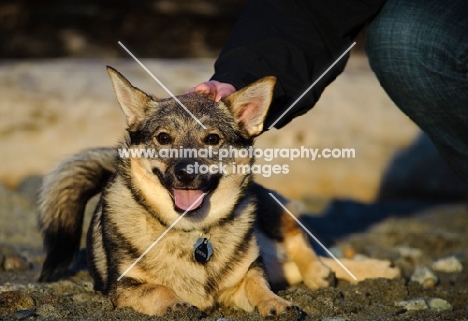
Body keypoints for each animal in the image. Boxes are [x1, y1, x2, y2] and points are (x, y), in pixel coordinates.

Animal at [38, 66, 400, 318]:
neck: (193, 231)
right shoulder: (123, 287)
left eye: (212, 139)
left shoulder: (246, 277)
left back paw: (333, 271)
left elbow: (258, 286)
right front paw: (176, 303)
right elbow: (156, 290)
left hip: (270, 208)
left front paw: (277, 303)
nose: (185, 173)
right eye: (163, 138)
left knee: (300, 240)